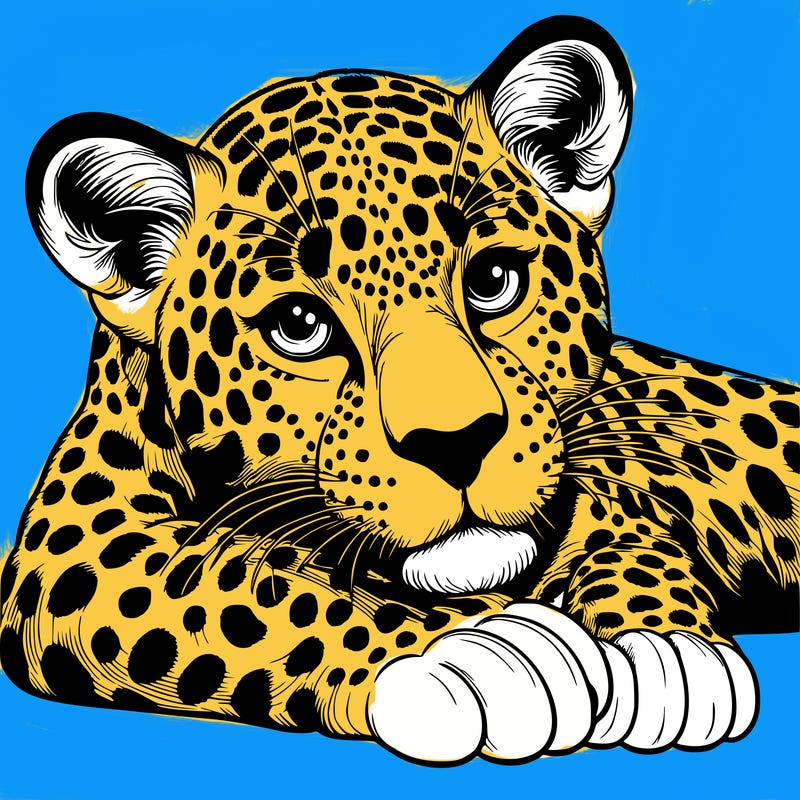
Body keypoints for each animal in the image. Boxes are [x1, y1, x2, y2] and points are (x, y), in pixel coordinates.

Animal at [1, 15, 798, 764]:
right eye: (299, 325)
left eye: (493, 279)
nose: (457, 444)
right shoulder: (79, 546)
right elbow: (257, 589)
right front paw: (484, 656)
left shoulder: (599, 479)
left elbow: (625, 536)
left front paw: (667, 650)